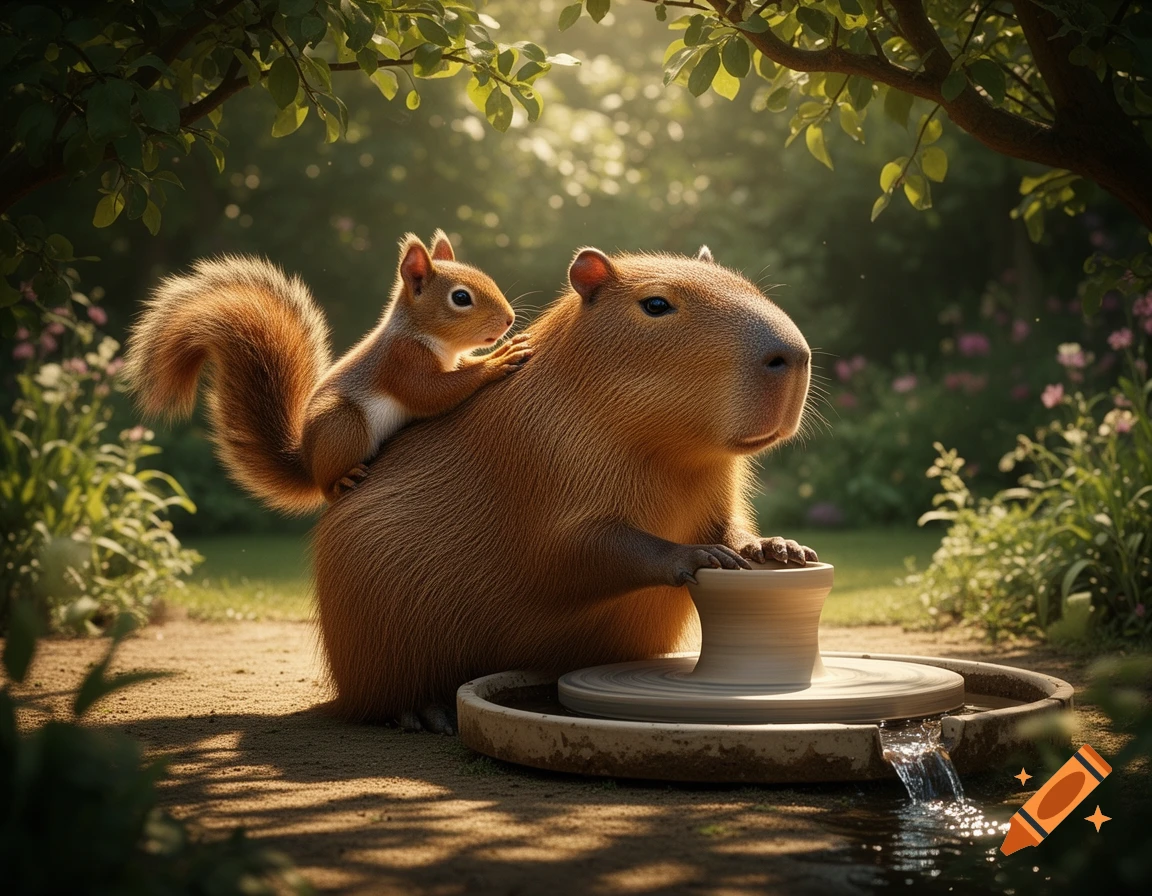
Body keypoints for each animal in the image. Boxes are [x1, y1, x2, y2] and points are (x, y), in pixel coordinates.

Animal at [122, 231, 531, 510]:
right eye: (460, 297)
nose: (509, 319)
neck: (428, 338)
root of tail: (309, 462)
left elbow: (462, 368)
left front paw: (503, 349)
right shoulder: (400, 363)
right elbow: (433, 393)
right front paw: (496, 363)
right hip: (342, 424)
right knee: (328, 489)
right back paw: (340, 482)